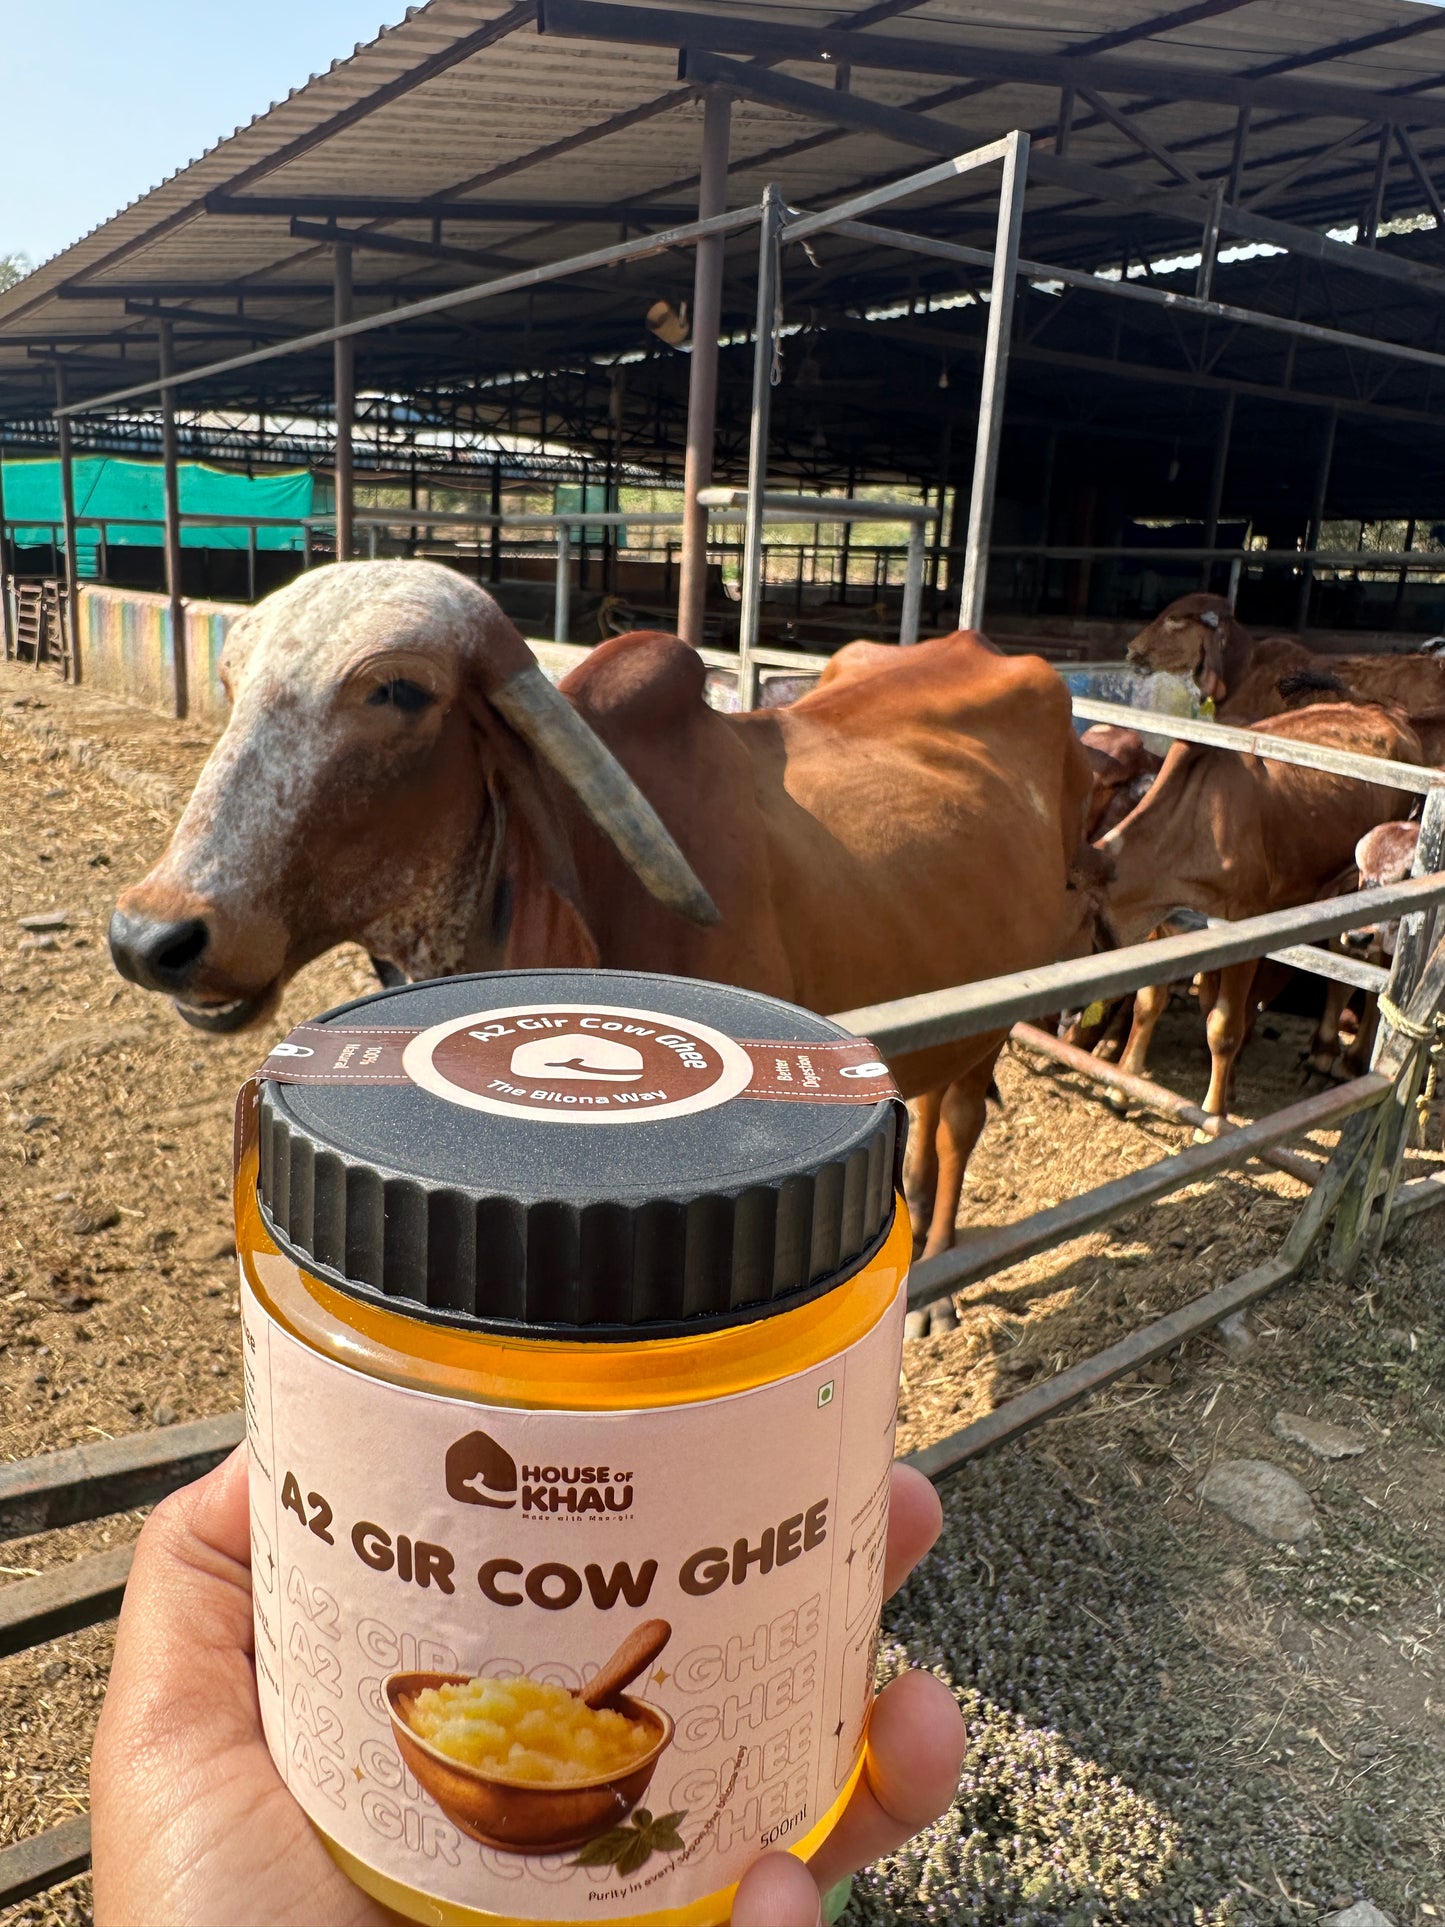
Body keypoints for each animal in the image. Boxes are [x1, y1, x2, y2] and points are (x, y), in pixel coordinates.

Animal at [108, 562, 1101, 1338]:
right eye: (229, 683)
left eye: (397, 689)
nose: (152, 934)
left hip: (1008, 1005)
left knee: (960, 1119)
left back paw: (934, 1278)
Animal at [1098, 701, 1423, 1117]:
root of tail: (1390, 715)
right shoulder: (1166, 925)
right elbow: (1148, 1004)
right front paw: (1122, 1086)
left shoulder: (1243, 924)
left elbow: (1222, 1028)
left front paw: (1212, 1113)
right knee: (1342, 961)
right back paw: (1322, 1052)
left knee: (1376, 970)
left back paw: (1350, 1062)